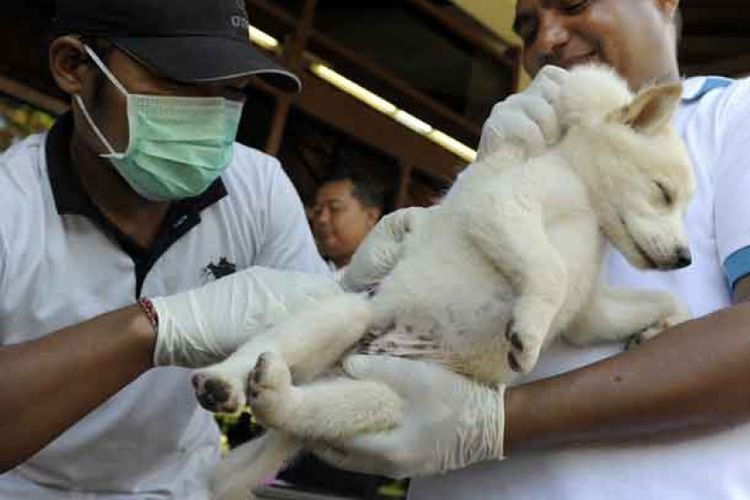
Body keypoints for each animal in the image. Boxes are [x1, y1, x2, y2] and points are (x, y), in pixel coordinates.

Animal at [197, 64, 696, 498]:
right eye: (663, 193)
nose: (685, 258)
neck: (589, 212)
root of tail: (333, 369)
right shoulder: (501, 204)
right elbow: (550, 270)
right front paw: (529, 333)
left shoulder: (588, 312)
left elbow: (658, 301)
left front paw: (661, 327)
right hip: (349, 314)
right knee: (259, 352)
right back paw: (223, 382)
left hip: (389, 401)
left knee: (302, 414)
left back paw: (276, 397)